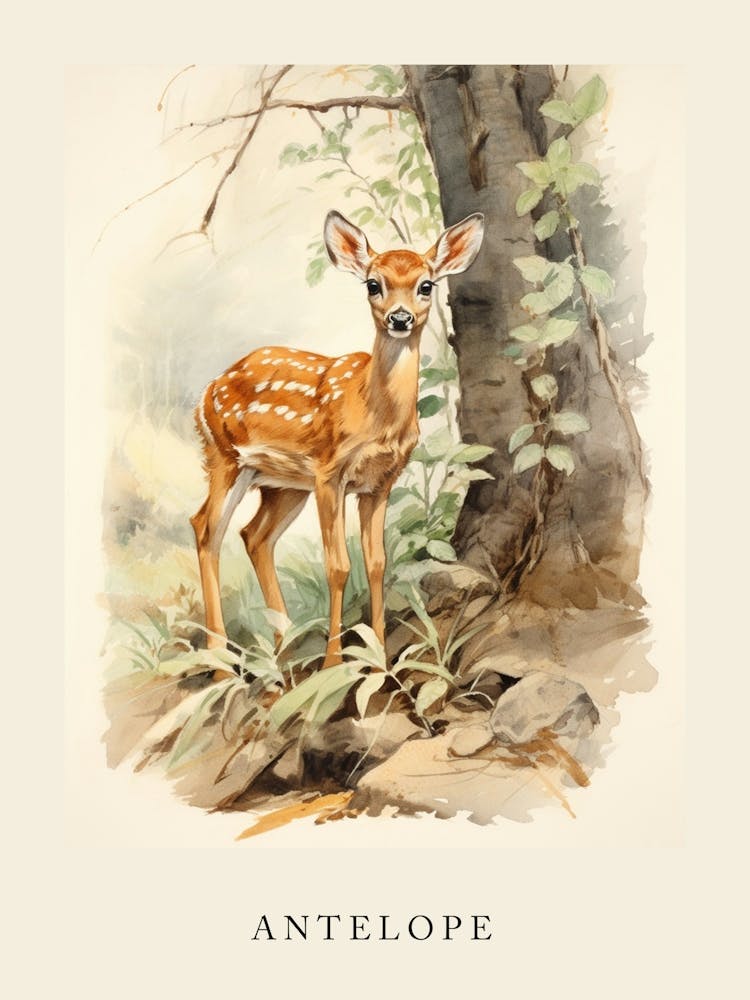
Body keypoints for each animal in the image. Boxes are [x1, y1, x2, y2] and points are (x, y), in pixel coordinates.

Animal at [191, 209, 484, 668]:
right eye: (373, 284)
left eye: (426, 285)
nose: (399, 318)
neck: (374, 413)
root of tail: (205, 393)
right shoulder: (330, 473)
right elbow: (338, 566)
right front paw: (335, 662)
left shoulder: (380, 482)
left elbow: (377, 562)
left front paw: (380, 654)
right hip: (225, 456)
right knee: (206, 527)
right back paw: (221, 658)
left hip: (283, 484)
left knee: (254, 536)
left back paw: (284, 646)